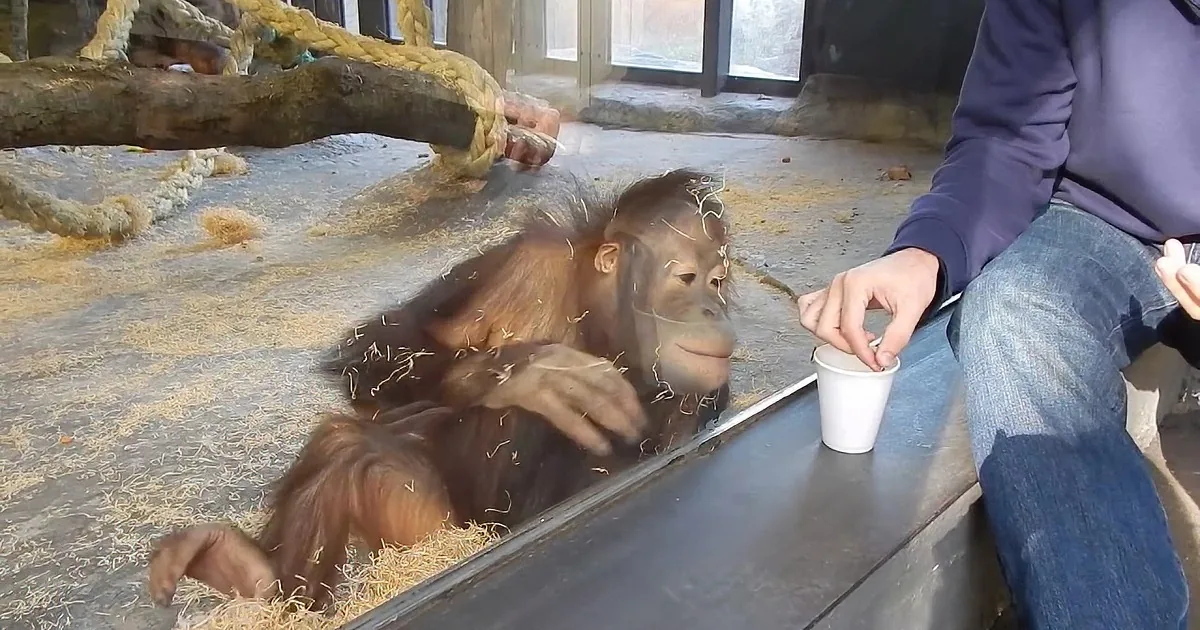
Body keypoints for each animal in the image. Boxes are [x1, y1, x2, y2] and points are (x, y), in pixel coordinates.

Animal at [146, 169, 738, 612]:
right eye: (687, 278)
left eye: (717, 281)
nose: (713, 308)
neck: (601, 322)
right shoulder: (528, 261)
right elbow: (387, 347)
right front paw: (530, 374)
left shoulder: (698, 396)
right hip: (433, 529)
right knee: (350, 447)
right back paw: (250, 572)